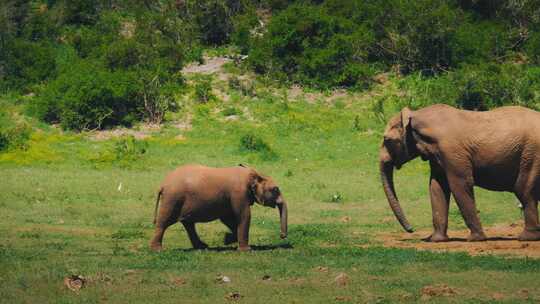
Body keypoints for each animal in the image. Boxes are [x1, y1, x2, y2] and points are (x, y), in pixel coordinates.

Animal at [150, 164, 288, 252]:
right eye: (275, 189)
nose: (282, 236)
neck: (254, 174)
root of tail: (162, 185)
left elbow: (228, 219)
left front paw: (227, 240)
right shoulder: (238, 193)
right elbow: (244, 216)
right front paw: (246, 250)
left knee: (188, 224)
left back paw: (202, 247)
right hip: (172, 199)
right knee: (163, 222)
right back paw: (158, 250)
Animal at [380, 104, 540, 242]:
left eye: (387, 140)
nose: (411, 229)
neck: (416, 115)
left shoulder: (451, 151)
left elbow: (459, 185)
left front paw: (475, 239)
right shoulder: (437, 154)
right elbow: (437, 187)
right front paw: (436, 240)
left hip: (531, 154)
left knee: (522, 189)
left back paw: (526, 238)